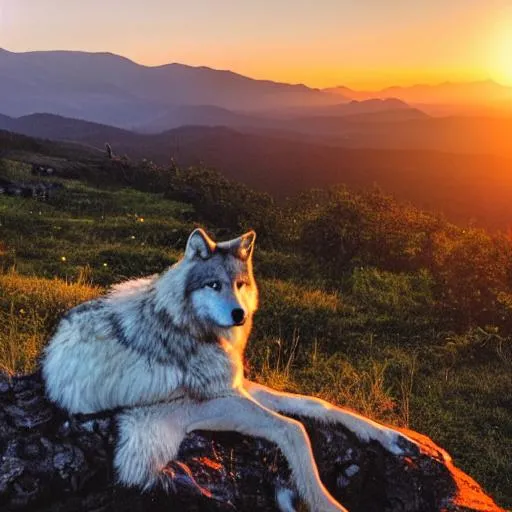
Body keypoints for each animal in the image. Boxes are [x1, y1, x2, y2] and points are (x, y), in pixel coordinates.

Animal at [42, 229, 414, 512]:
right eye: (214, 285)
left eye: (239, 284)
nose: (240, 315)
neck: (192, 324)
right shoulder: (201, 402)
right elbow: (294, 428)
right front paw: (325, 503)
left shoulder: (235, 385)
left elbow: (315, 404)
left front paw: (389, 436)